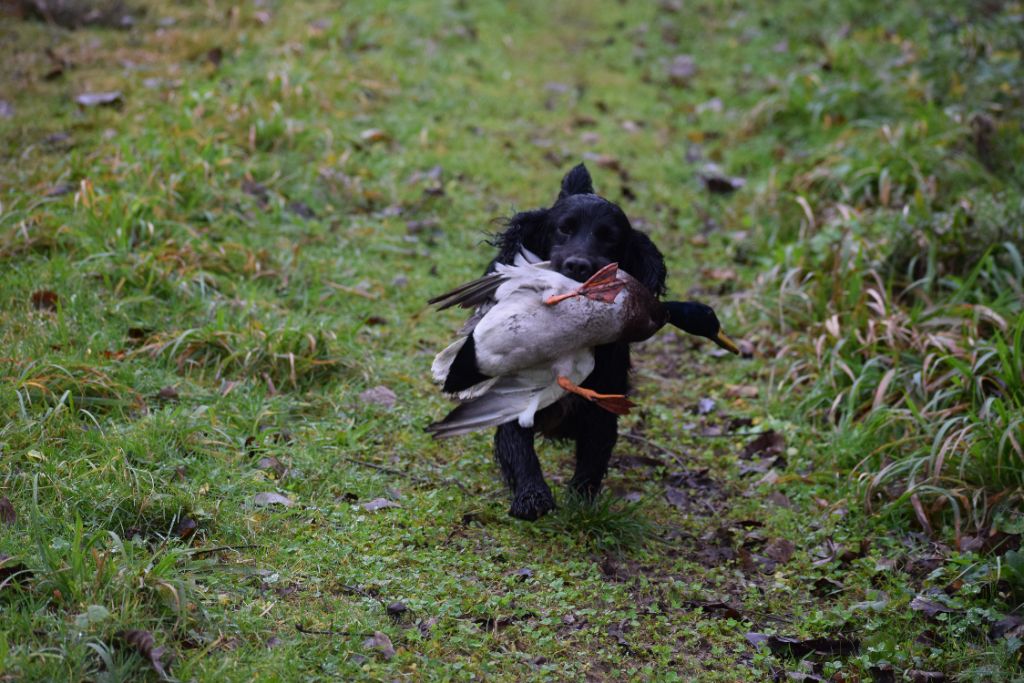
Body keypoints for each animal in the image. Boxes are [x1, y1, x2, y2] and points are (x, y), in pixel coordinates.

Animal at [485, 163, 667, 518]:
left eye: (610, 238)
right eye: (563, 229)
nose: (578, 265)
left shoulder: (603, 410)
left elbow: (592, 462)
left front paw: (581, 505)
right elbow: (519, 450)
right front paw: (532, 497)